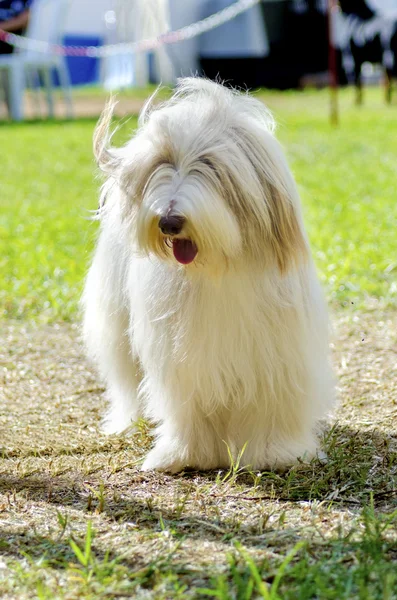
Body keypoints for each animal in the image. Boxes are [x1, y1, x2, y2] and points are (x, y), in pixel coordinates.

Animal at [81, 77, 334, 474]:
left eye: (209, 164)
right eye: (163, 163)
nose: (169, 221)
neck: (216, 269)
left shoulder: (274, 353)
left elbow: (271, 404)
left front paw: (276, 453)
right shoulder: (180, 359)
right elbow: (187, 408)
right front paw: (184, 454)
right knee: (125, 377)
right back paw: (126, 423)